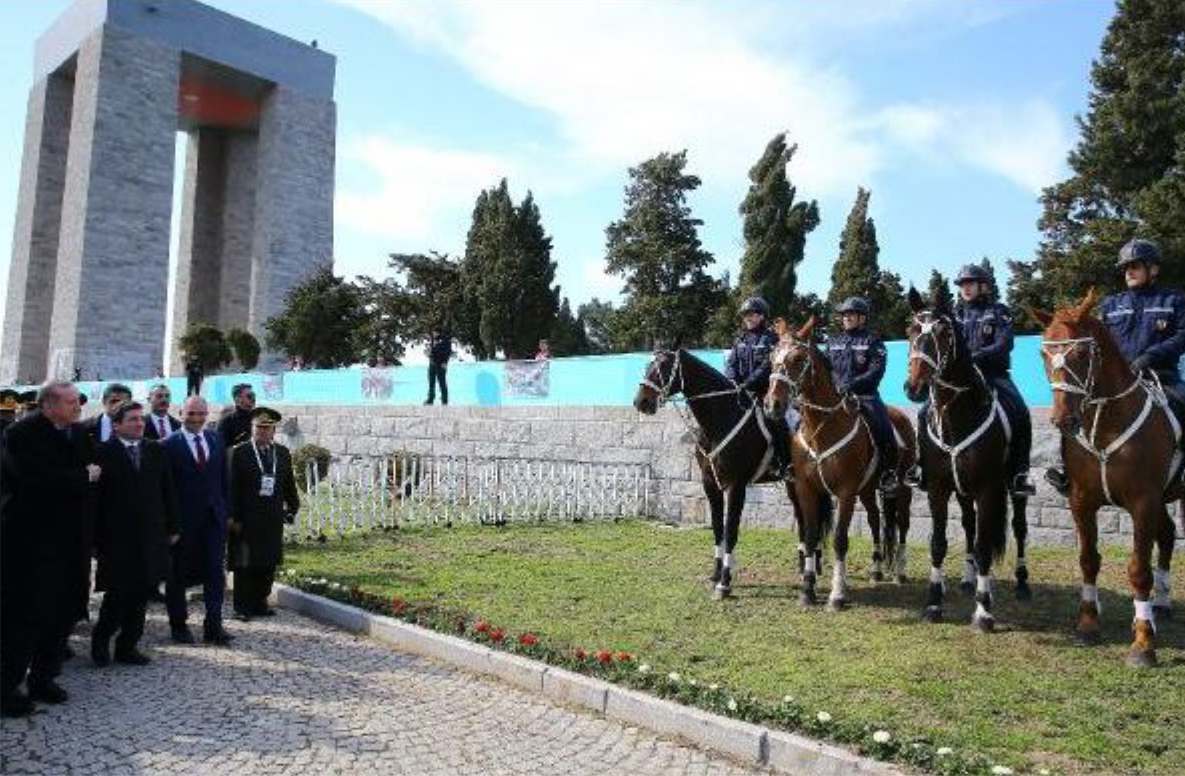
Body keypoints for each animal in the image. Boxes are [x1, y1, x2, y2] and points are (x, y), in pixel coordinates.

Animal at [630, 350, 805, 601]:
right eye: (648, 364)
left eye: (664, 366)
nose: (641, 402)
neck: (722, 417)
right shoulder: (710, 484)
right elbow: (717, 528)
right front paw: (716, 574)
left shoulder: (736, 487)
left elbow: (730, 531)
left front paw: (725, 583)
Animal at [763, 319, 919, 611]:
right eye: (771, 357)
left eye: (798, 359)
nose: (772, 404)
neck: (822, 427)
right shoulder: (807, 489)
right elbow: (810, 537)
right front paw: (807, 591)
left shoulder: (845, 492)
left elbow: (839, 540)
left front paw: (837, 595)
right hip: (867, 489)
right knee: (874, 520)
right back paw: (876, 570)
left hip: (902, 488)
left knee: (902, 524)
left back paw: (900, 572)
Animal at [905, 285, 1028, 630]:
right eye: (911, 330)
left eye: (945, 332)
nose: (915, 388)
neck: (956, 418)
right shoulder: (938, 488)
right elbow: (938, 543)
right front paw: (934, 603)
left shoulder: (988, 489)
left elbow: (987, 548)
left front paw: (984, 611)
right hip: (962, 491)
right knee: (970, 525)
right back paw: (968, 578)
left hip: (1014, 485)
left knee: (1019, 527)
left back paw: (1022, 583)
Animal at [1033, 291, 1180, 668]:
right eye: (1044, 353)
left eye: (1083, 354)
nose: (1063, 421)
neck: (1106, 420)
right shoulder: (1081, 501)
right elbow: (1088, 559)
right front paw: (1088, 625)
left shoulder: (1143, 503)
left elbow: (1138, 570)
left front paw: (1143, 643)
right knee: (1168, 534)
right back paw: (1162, 603)